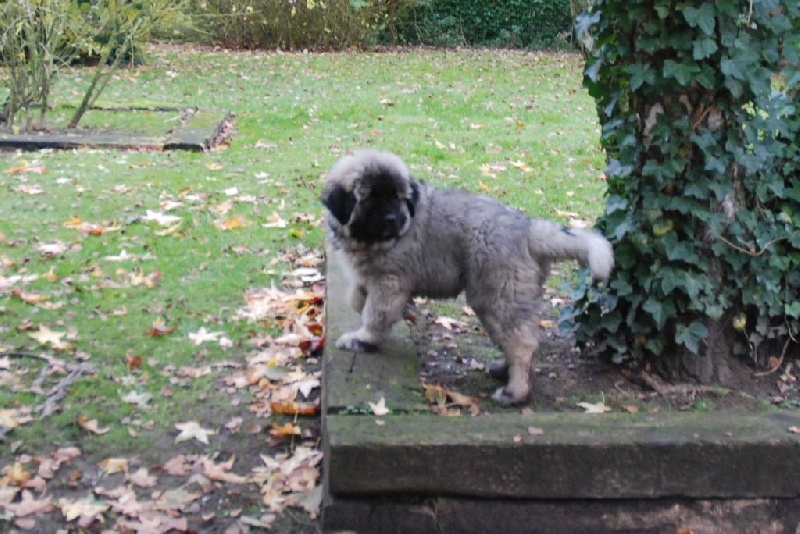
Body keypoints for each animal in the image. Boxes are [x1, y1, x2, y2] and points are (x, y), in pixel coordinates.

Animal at [322, 149, 613, 405]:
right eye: (370, 198)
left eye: (397, 197)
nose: (394, 219)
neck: (368, 240)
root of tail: (528, 229)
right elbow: (357, 297)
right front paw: (361, 305)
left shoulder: (389, 282)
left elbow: (375, 314)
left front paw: (363, 338)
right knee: (516, 338)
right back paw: (504, 370)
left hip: (498, 297)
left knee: (522, 344)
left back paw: (515, 392)